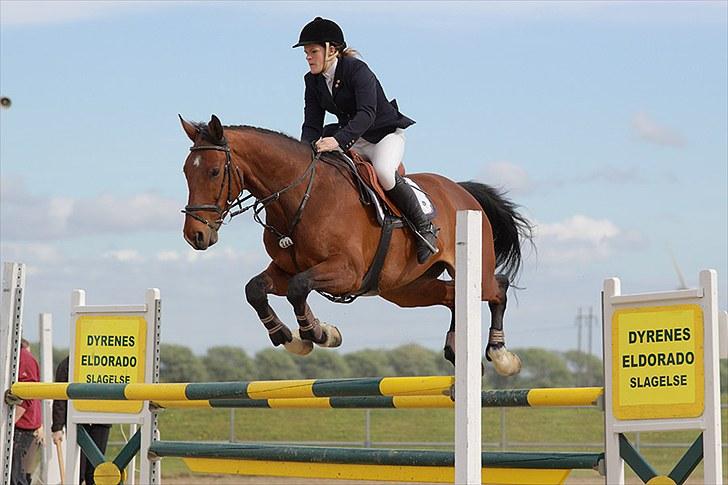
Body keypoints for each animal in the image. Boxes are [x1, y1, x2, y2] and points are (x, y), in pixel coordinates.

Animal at [181, 114, 536, 374]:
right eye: (186, 172)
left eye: (214, 171)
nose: (195, 236)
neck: (301, 197)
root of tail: (462, 192)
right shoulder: (284, 269)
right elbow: (255, 289)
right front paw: (290, 337)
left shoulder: (346, 272)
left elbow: (299, 288)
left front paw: (318, 333)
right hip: (406, 289)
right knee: (453, 298)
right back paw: (454, 349)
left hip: (470, 272)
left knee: (498, 288)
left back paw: (501, 355)